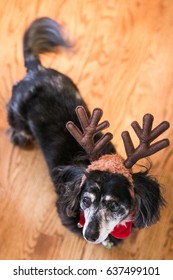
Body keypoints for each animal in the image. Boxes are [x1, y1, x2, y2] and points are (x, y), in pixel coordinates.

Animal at [6, 17, 166, 247]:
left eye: (114, 205)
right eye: (85, 201)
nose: (89, 235)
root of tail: (36, 70)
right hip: (16, 112)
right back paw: (19, 136)